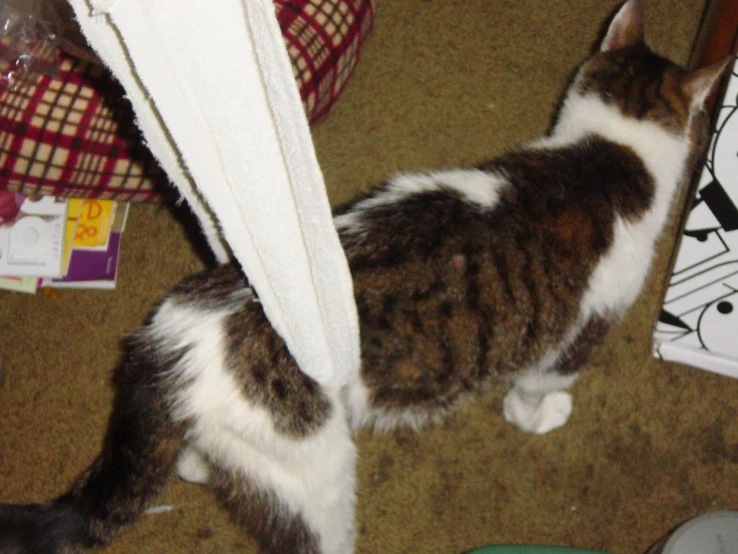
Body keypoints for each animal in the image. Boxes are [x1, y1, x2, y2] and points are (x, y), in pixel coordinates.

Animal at [0, 0, 728, 548]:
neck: (609, 151)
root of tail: (167, 343)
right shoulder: (574, 339)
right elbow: (533, 391)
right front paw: (541, 416)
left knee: (191, 459)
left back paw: (198, 463)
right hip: (314, 477)